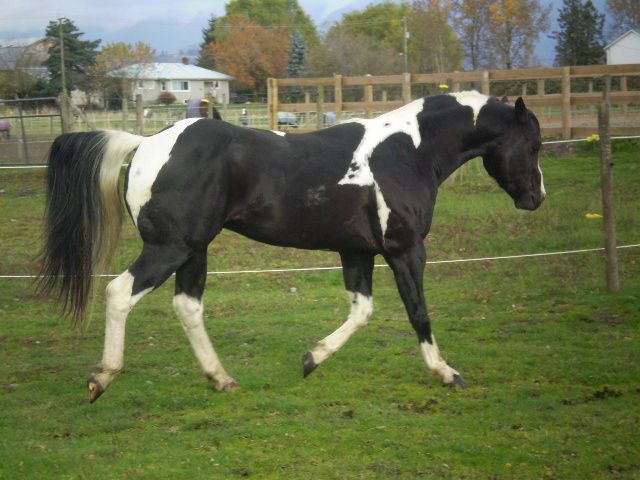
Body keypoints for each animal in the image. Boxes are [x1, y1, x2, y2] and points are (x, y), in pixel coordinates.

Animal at [37, 90, 544, 402]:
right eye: (533, 144)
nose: (536, 198)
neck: (407, 151)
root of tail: (144, 144)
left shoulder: (357, 252)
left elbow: (362, 311)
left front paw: (311, 359)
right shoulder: (405, 250)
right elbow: (418, 312)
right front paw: (447, 373)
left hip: (194, 249)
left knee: (187, 306)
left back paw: (222, 379)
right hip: (170, 247)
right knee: (120, 292)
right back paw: (102, 378)